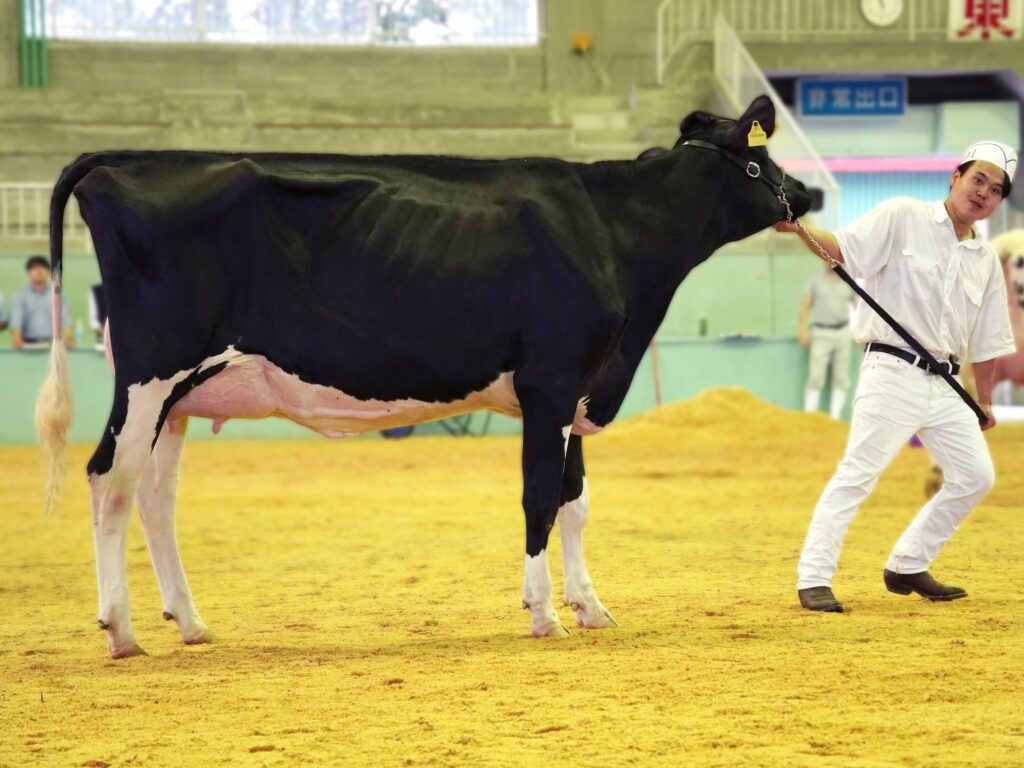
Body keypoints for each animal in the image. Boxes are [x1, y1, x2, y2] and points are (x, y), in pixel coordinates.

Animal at [36, 96, 811, 659]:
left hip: (181, 395)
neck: (612, 232)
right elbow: (538, 499)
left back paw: (191, 622)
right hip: (150, 373)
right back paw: (122, 630)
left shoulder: (578, 389)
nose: (806, 193)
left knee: (155, 497)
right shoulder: (551, 382)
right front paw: (543, 615)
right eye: (760, 158)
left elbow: (576, 503)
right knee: (108, 481)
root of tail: (121, 163)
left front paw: (590, 606)